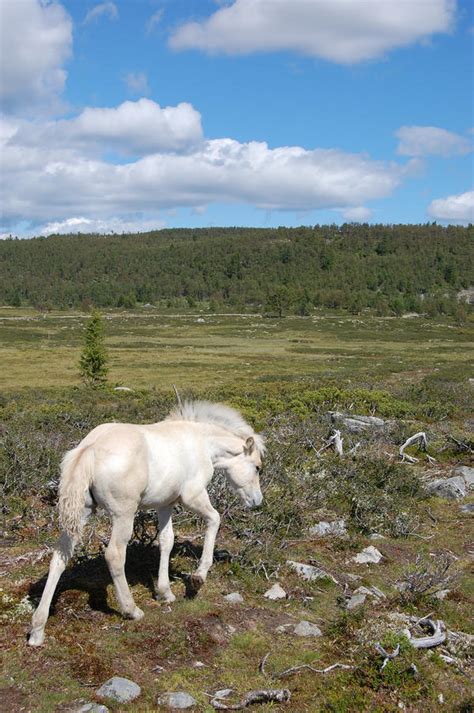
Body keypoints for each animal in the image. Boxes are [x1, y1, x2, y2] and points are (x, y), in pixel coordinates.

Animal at [28, 400, 264, 644]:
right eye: (257, 467)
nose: (257, 501)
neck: (202, 442)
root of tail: (89, 449)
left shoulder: (165, 504)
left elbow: (167, 541)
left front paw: (165, 592)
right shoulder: (193, 496)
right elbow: (214, 519)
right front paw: (199, 577)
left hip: (81, 514)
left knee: (59, 558)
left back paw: (37, 629)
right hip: (123, 515)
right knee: (114, 555)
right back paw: (131, 610)